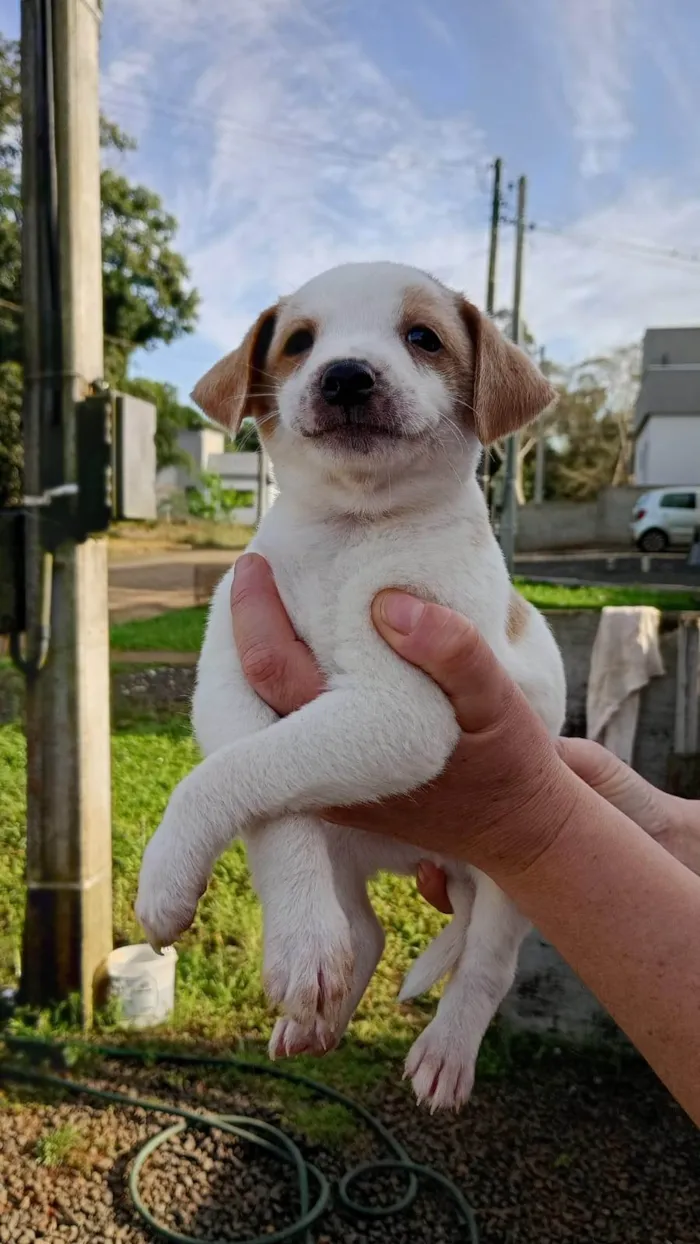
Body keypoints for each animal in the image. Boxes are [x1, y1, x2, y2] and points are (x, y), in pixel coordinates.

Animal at [134, 259, 566, 1109]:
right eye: (299, 343)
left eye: (424, 337)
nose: (345, 375)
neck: (351, 531)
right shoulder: (231, 684)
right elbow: (265, 799)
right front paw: (303, 944)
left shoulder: (402, 708)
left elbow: (225, 776)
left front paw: (165, 871)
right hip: (349, 839)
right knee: (366, 926)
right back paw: (317, 1010)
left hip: (511, 876)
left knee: (487, 965)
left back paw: (447, 1050)